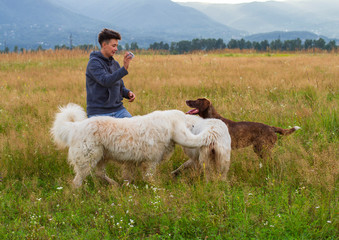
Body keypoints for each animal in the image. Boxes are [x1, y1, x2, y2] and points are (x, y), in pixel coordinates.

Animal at [50, 103, 215, 188]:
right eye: (188, 122)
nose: (194, 125)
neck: (167, 125)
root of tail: (75, 127)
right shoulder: (150, 162)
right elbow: (150, 178)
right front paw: (157, 188)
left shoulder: (132, 163)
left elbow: (128, 177)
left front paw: (128, 188)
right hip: (88, 159)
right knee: (77, 181)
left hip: (100, 157)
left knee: (100, 174)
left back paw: (115, 185)